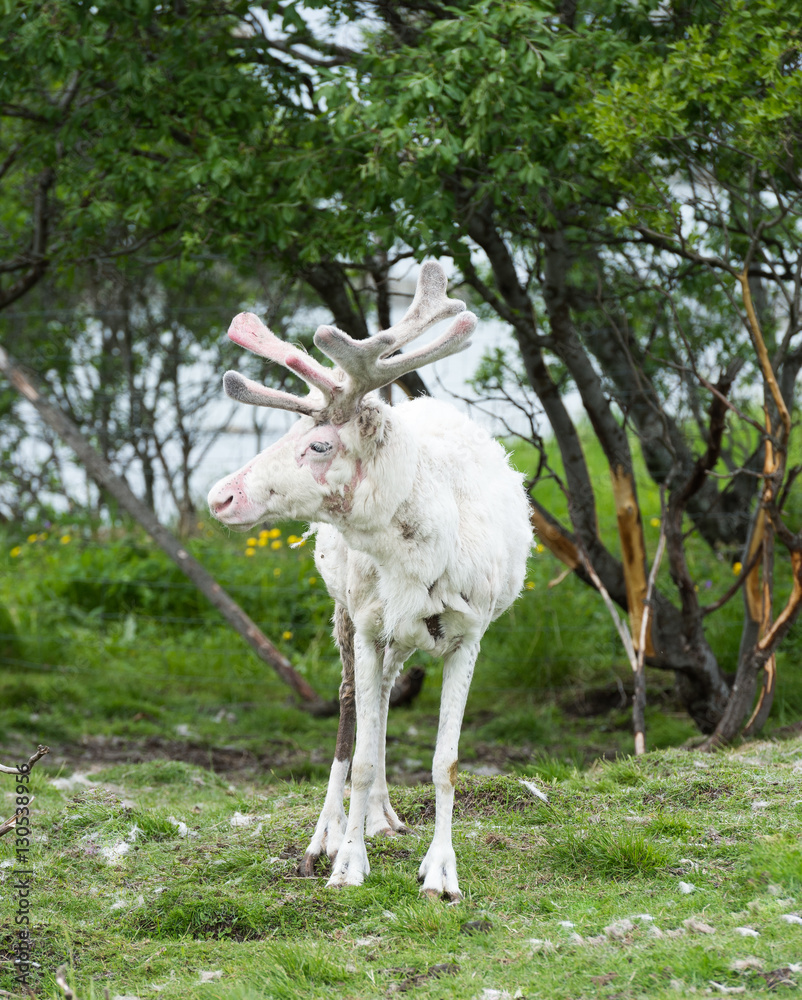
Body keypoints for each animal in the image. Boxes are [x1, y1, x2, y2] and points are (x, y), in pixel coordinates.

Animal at [207, 262, 532, 901]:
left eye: (318, 443)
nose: (220, 495)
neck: (418, 556)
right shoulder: (363, 620)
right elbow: (357, 752)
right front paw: (347, 863)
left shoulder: (470, 632)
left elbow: (445, 761)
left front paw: (441, 874)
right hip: (348, 617)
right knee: (352, 706)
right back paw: (328, 837)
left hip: (401, 637)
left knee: (382, 697)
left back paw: (384, 816)